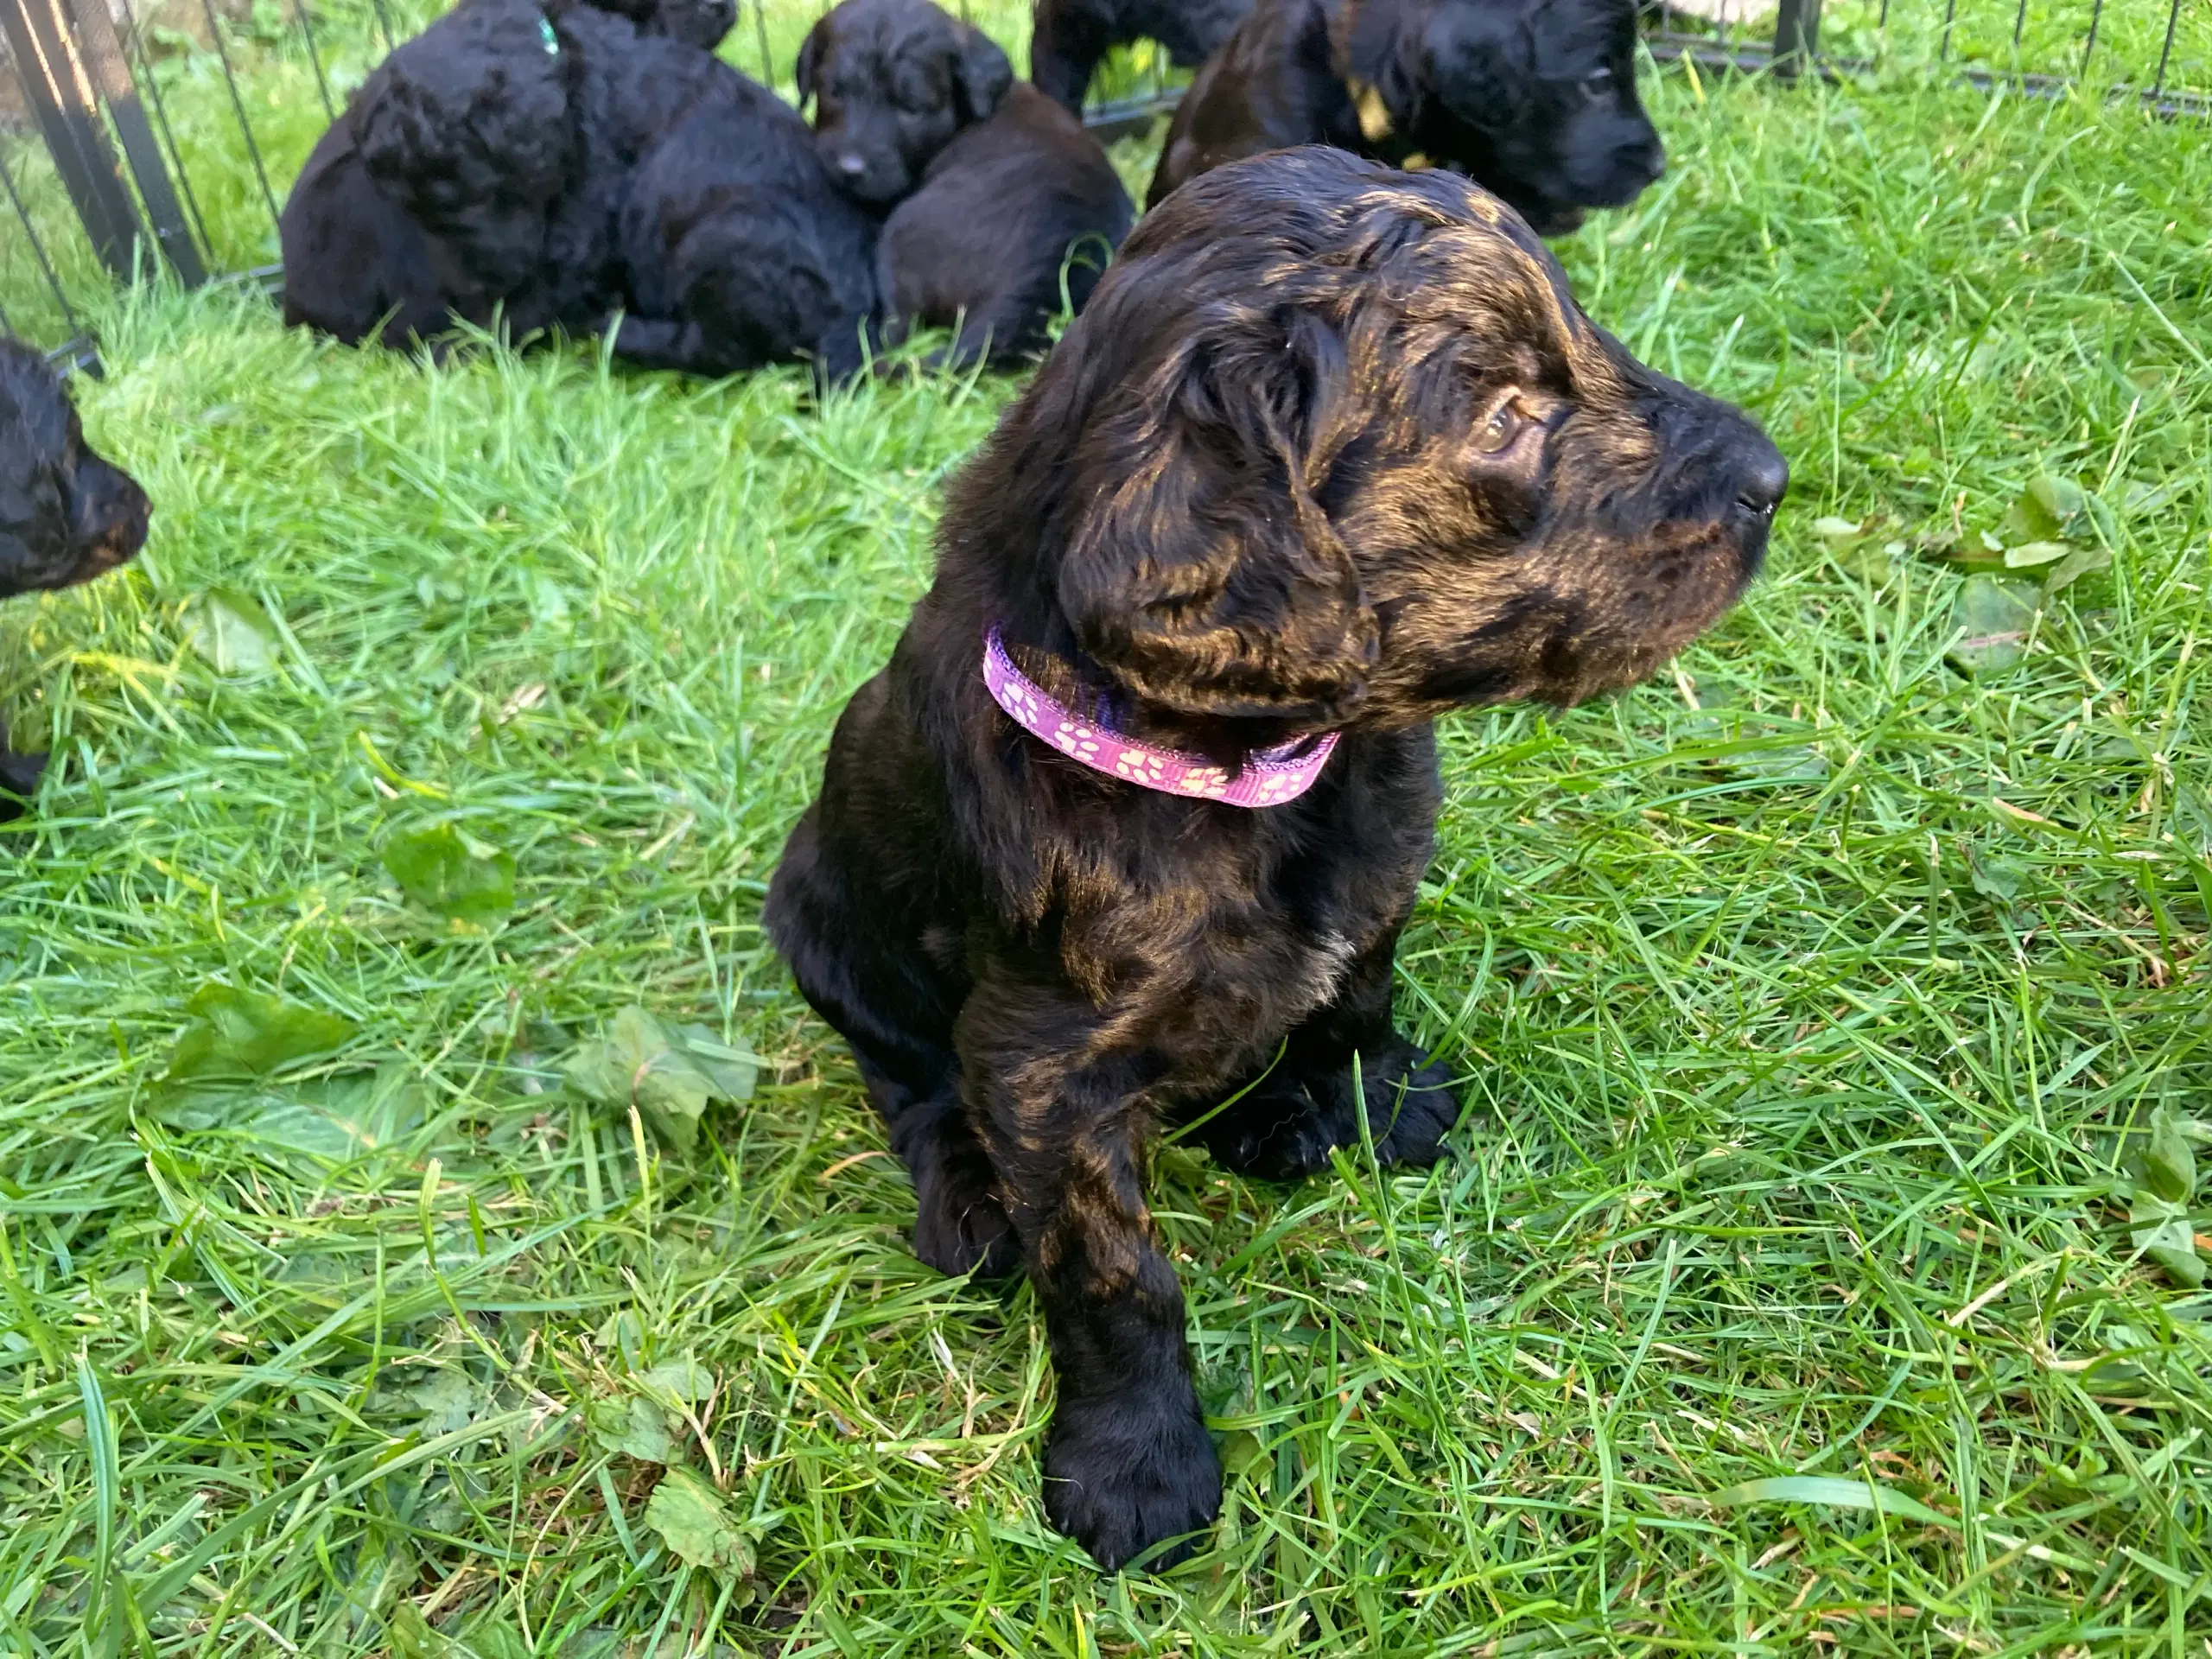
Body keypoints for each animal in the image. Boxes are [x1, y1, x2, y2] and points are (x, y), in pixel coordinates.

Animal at [760, 139, 1778, 1574]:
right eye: (1507, 418)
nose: (1774, 476)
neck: (1262, 782)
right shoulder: (1041, 1063)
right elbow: (1114, 1275)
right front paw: (1135, 1468)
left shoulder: (1379, 863)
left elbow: (1355, 987)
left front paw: (1360, 1100)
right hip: (818, 916)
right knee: (900, 1073)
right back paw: (967, 1197)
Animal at [800, 0, 1141, 369]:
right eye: (834, 91)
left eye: (911, 108)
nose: (851, 170)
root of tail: (1036, 284)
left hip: (900, 236)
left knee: (897, 328)